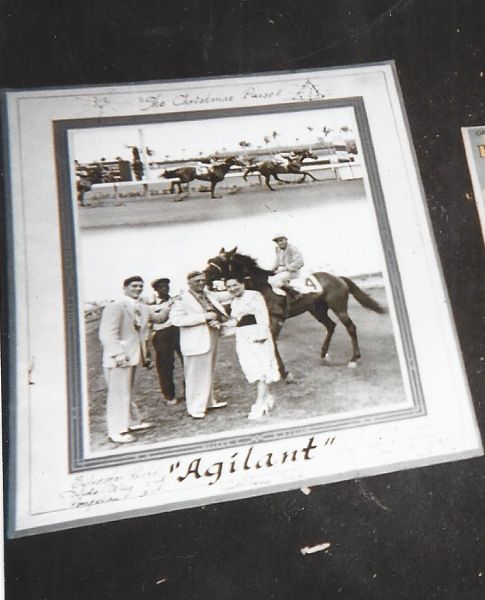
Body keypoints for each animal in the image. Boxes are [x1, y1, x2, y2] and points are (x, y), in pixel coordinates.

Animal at [204, 247, 386, 380]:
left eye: (219, 261)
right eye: (210, 260)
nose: (204, 276)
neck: (261, 287)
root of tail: (338, 278)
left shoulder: (276, 320)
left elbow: (272, 343)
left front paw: (284, 373)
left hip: (339, 307)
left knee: (350, 327)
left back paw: (354, 359)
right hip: (317, 310)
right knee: (331, 326)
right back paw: (323, 353)